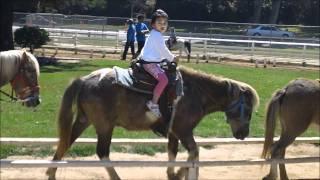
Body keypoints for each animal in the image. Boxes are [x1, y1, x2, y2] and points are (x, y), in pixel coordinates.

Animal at [46, 65, 258, 179]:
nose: (243, 134)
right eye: (247, 111)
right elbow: (194, 152)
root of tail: (84, 80)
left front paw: (173, 175)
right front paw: (180, 174)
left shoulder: (174, 133)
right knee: (102, 153)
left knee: (65, 143)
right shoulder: (184, 130)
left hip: (84, 121)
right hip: (105, 127)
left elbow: (174, 153)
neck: (196, 92)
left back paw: (51, 172)